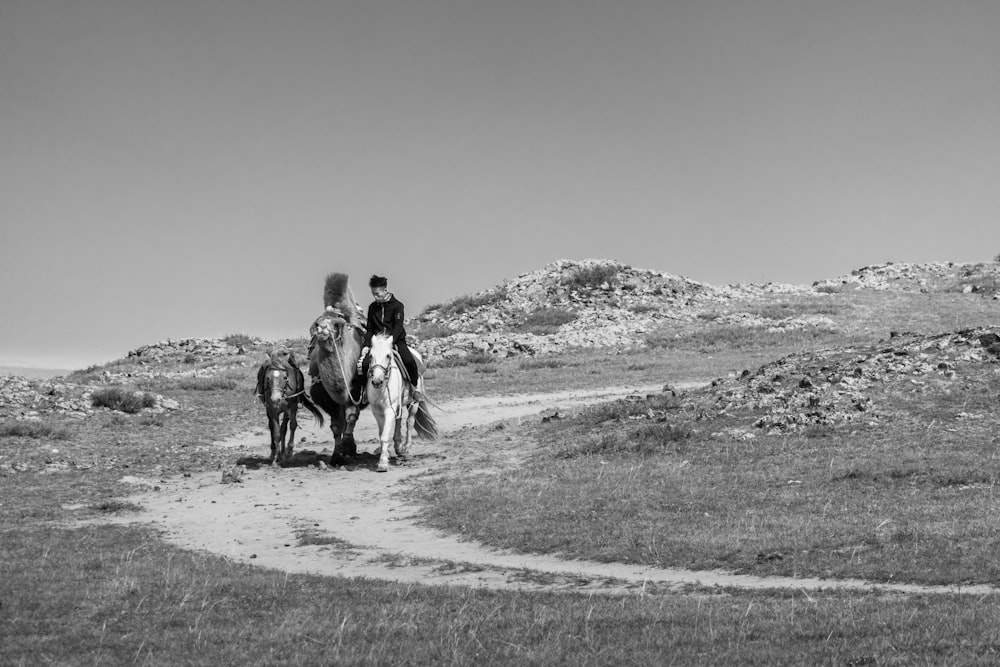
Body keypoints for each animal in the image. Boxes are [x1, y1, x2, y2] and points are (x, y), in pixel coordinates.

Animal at [308, 274, 368, 456]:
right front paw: (337, 454)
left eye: (336, 324)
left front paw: (347, 446)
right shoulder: (323, 396)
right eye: (317, 322)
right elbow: (336, 425)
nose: (322, 329)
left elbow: (351, 416)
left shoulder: (356, 389)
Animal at [364, 332, 434, 470]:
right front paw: (386, 454)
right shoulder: (377, 411)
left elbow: (385, 435)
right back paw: (398, 447)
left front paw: (383, 463)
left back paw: (406, 449)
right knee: (398, 421)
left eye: (387, 355)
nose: (377, 381)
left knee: (410, 422)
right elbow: (382, 433)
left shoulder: (388, 410)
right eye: (370, 355)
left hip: (414, 403)